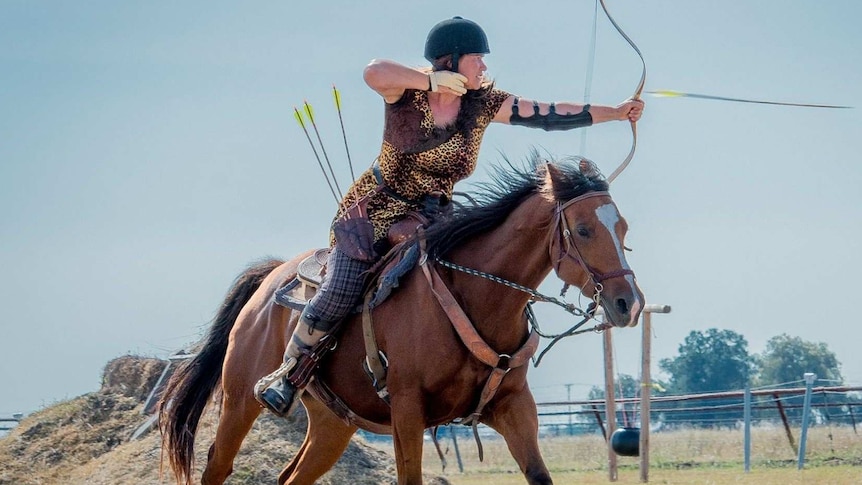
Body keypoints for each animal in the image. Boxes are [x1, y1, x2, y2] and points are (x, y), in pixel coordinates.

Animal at [160, 157, 648, 482]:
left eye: (623, 229)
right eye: (583, 230)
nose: (629, 303)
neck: (473, 292)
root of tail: (271, 279)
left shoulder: (513, 406)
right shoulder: (408, 409)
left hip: (333, 424)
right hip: (240, 400)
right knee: (217, 465)